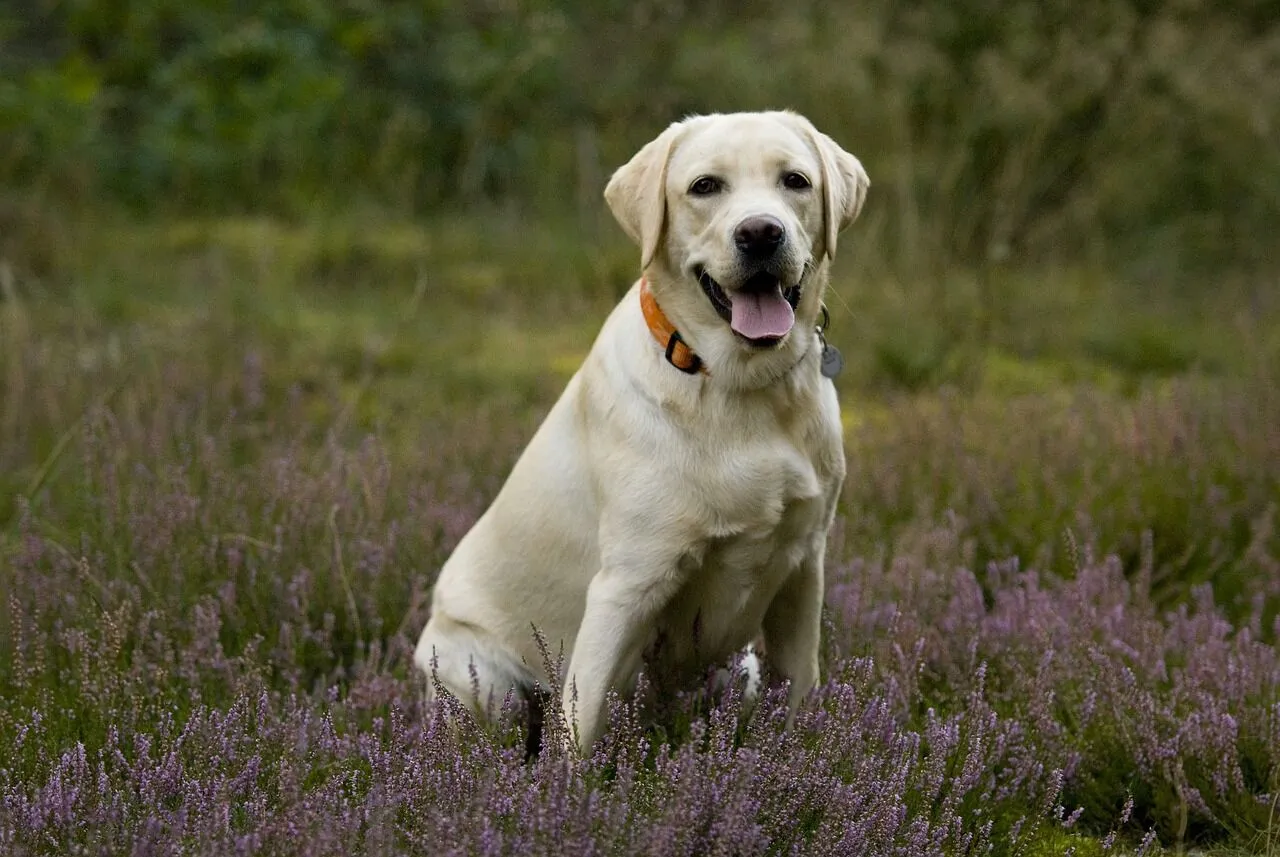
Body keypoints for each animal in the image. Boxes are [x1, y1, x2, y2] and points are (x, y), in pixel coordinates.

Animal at [417, 110, 870, 757]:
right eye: (705, 187)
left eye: (796, 181)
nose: (761, 233)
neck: (740, 384)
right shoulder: (627, 584)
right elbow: (579, 731)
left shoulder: (803, 568)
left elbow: (800, 693)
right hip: (482, 681)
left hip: (741, 669)